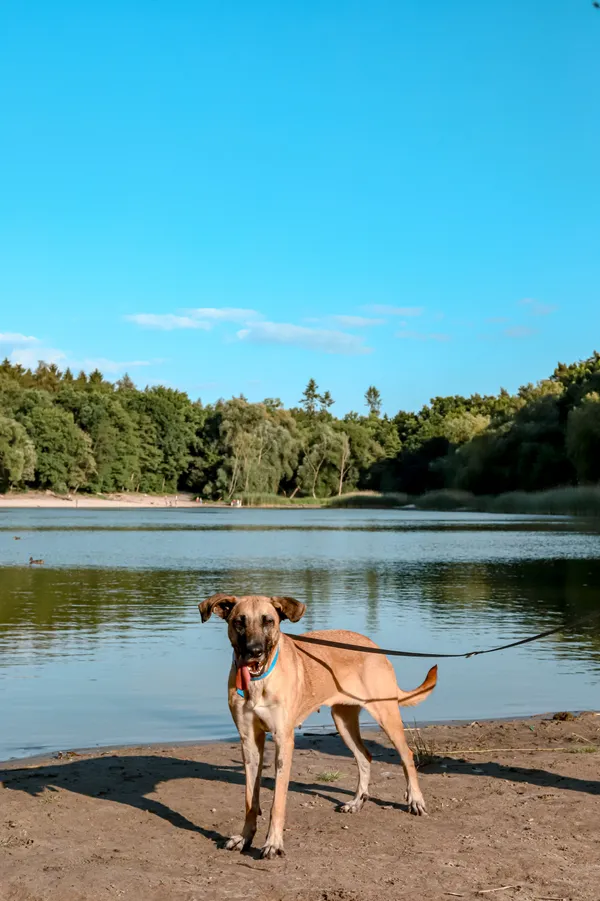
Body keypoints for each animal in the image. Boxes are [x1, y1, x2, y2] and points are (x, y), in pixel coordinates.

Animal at [199, 592, 438, 856]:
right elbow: (250, 800)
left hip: (386, 716)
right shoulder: (249, 742)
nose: (254, 651)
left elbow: (277, 802)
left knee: (407, 755)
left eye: (268, 621)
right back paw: (357, 801)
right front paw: (244, 838)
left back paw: (415, 800)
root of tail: (374, 646)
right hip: (343, 721)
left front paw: (273, 843)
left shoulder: (284, 741)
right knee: (365, 756)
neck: (259, 682)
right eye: (239, 622)